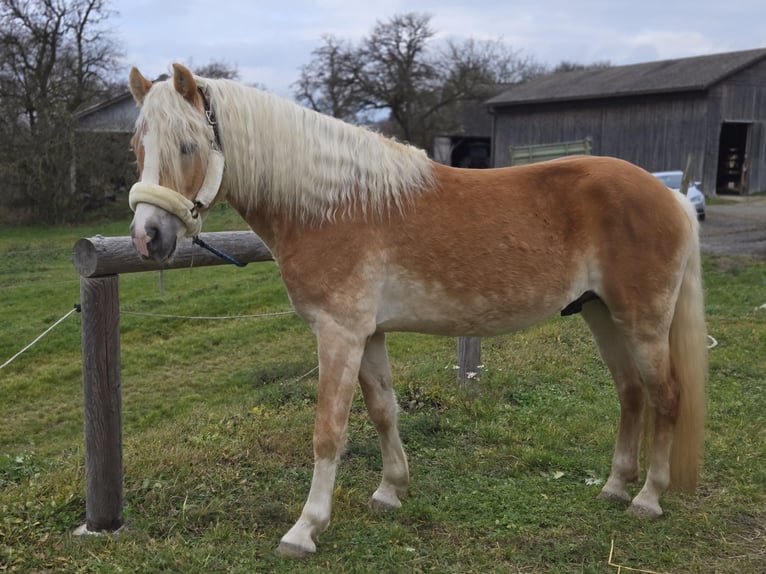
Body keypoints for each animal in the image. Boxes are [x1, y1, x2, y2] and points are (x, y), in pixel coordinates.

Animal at [126, 65, 708, 560]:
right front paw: (391, 490)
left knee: (665, 397)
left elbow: (328, 431)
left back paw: (648, 498)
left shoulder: (339, 333)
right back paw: (614, 487)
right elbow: (384, 410)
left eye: (187, 145)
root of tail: (672, 198)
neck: (332, 206)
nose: (147, 238)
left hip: (643, 322)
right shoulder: (369, 334)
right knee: (631, 393)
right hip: (599, 314)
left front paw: (305, 528)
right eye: (137, 147)